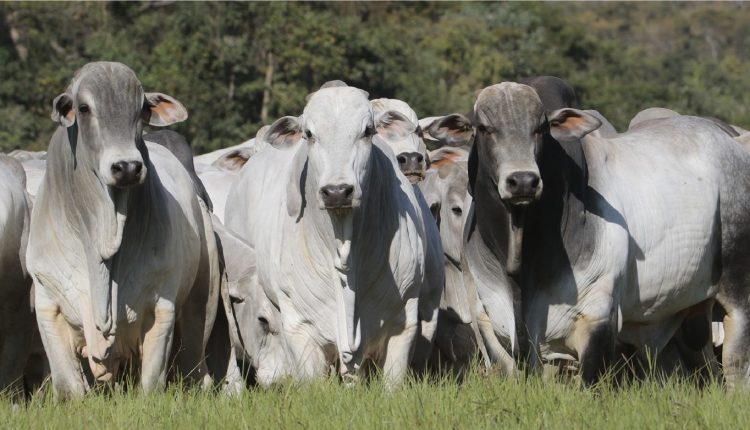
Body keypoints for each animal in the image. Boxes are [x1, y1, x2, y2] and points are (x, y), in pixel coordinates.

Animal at [27, 62, 226, 398]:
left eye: (141, 109)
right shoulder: (48, 304)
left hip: (202, 301)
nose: (128, 167)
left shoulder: (161, 308)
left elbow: (151, 384)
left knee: (196, 369)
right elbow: (70, 388)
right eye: (84, 108)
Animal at [434, 80, 750, 386]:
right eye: (484, 129)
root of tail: (733, 143)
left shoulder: (597, 315)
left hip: (737, 286)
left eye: (541, 128)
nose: (523, 181)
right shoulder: (490, 320)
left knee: (735, 362)